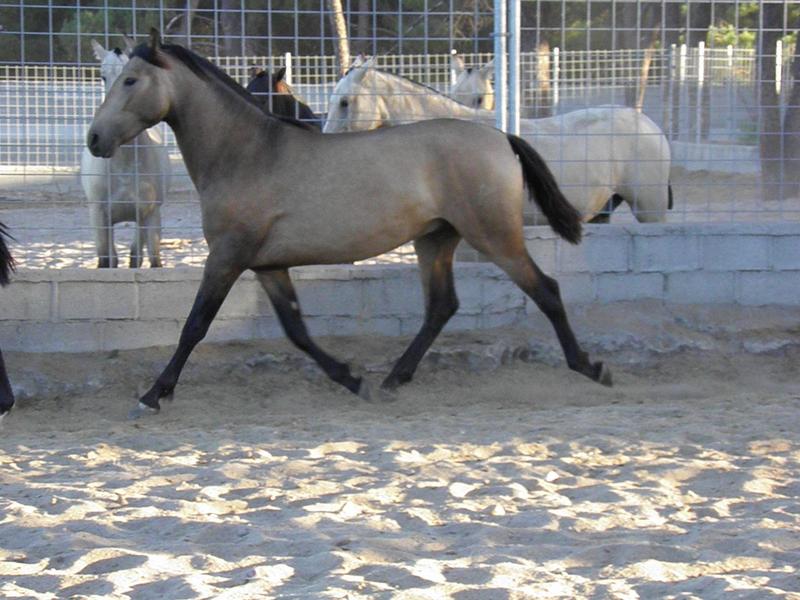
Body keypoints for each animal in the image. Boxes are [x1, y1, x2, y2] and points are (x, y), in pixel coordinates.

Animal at [80, 39, 171, 268]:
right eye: (102, 76)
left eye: (131, 78)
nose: (100, 137)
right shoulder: (100, 216)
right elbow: (106, 261)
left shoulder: (150, 215)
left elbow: (153, 261)